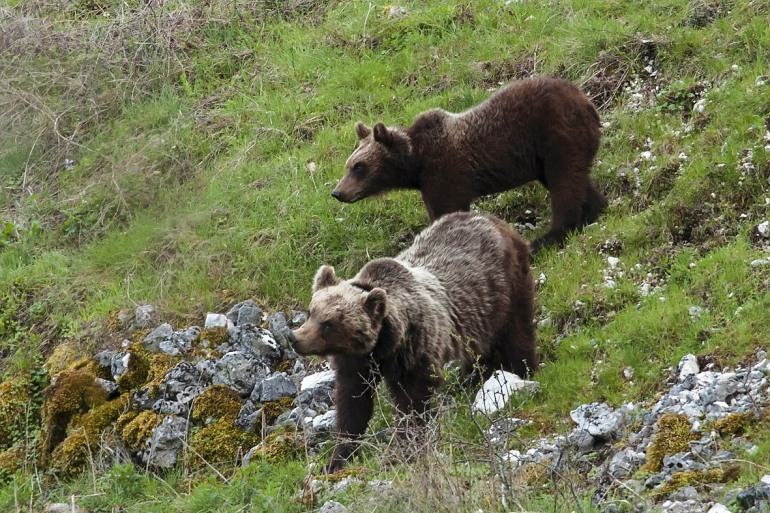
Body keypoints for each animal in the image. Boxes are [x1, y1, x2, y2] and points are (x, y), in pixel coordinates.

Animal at [286, 210, 536, 470]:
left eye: (329, 323)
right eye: (311, 312)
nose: (294, 337)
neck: (382, 347)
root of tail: (492, 219)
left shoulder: (414, 349)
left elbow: (411, 400)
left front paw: (405, 447)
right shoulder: (356, 363)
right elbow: (352, 404)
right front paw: (337, 457)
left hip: (505, 285)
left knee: (517, 329)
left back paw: (522, 369)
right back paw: (468, 380)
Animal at [330, 75, 608, 254]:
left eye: (358, 166)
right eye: (347, 165)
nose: (337, 192)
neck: (416, 163)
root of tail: (586, 100)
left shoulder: (445, 173)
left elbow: (447, 209)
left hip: (554, 133)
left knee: (564, 182)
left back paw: (547, 238)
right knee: (573, 178)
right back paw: (593, 209)